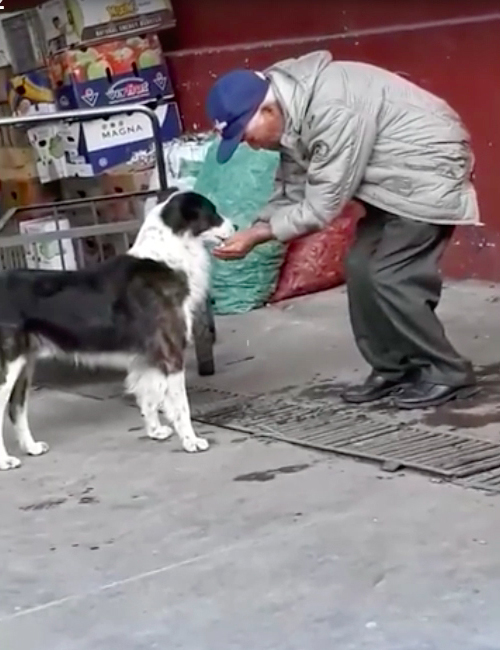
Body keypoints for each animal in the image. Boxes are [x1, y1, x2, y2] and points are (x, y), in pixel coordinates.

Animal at [0, 190, 234, 468]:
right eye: (213, 212)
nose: (236, 226)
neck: (168, 256)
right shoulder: (171, 354)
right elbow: (180, 407)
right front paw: (191, 442)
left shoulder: (147, 359)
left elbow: (149, 399)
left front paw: (155, 432)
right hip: (7, 367)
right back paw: (5, 461)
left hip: (24, 364)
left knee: (16, 408)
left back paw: (31, 447)